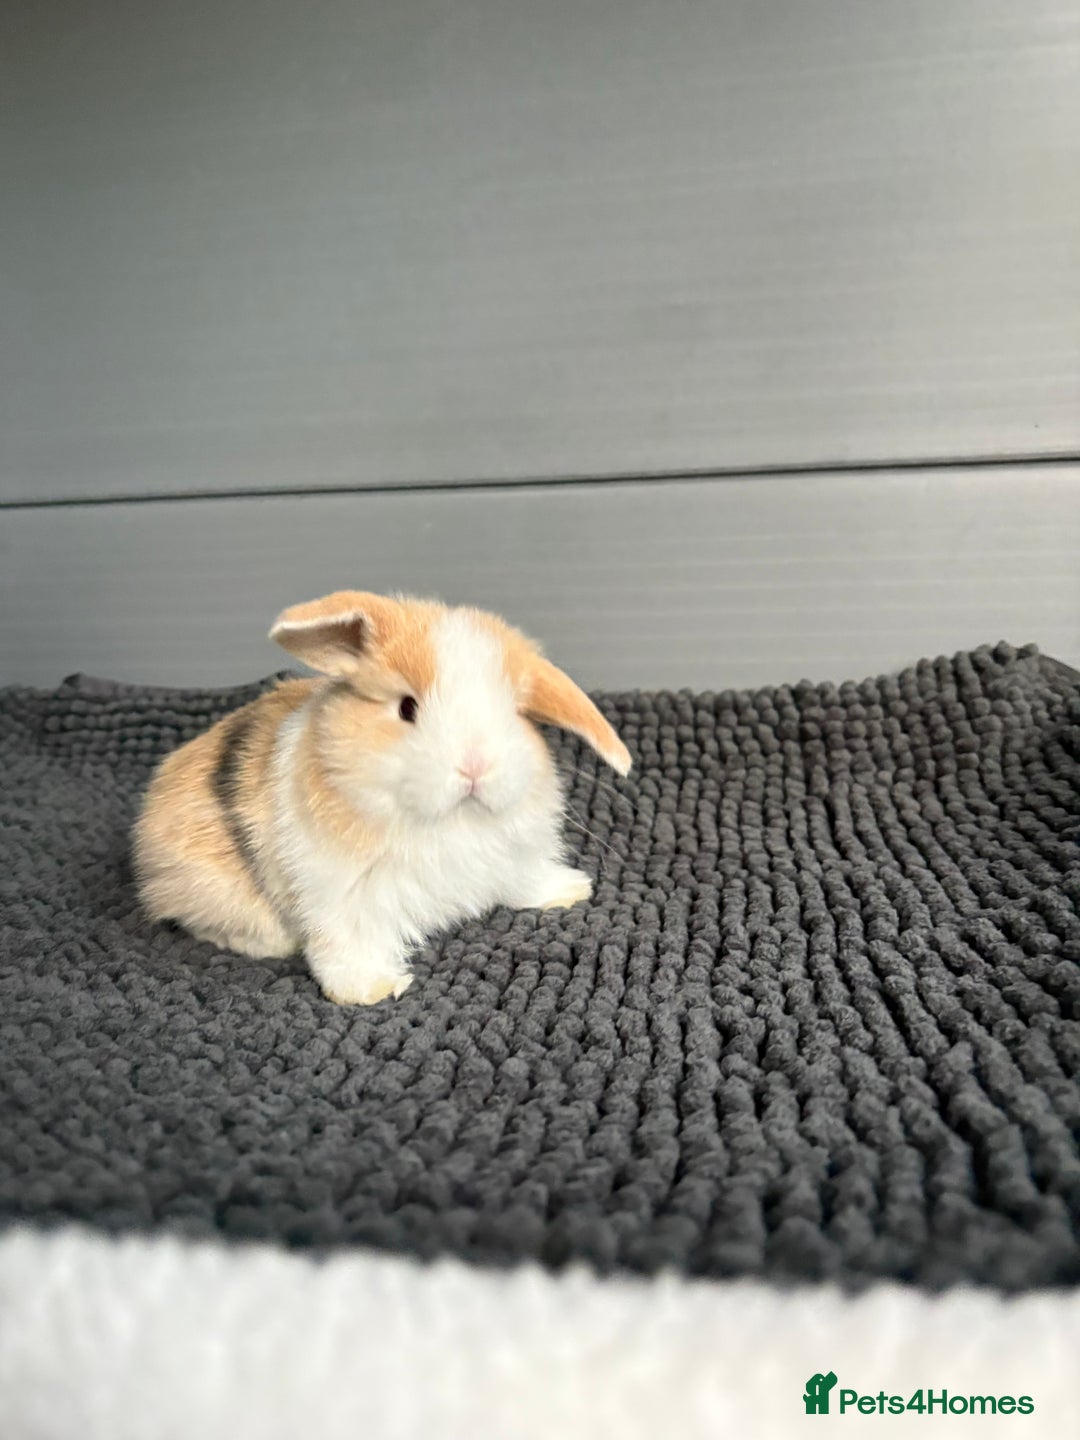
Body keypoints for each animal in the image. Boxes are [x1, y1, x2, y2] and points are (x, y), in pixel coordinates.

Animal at [133, 590, 632, 1005]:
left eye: (515, 714)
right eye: (407, 708)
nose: (476, 766)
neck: (451, 823)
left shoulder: (514, 858)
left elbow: (526, 881)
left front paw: (569, 889)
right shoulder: (339, 897)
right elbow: (345, 945)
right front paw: (371, 989)